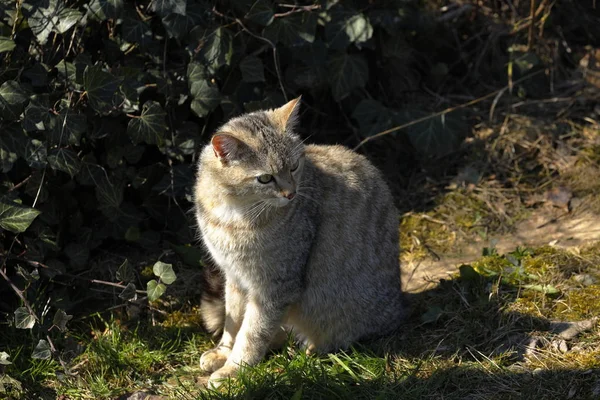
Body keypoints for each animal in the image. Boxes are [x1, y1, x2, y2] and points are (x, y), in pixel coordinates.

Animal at [195, 96, 406, 384]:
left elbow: (252, 334)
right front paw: (224, 352)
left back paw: (312, 348)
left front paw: (235, 369)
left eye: (294, 167)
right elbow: (233, 320)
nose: (291, 193)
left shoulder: (276, 286)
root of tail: (399, 309)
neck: (233, 212)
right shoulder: (235, 276)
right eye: (265, 178)